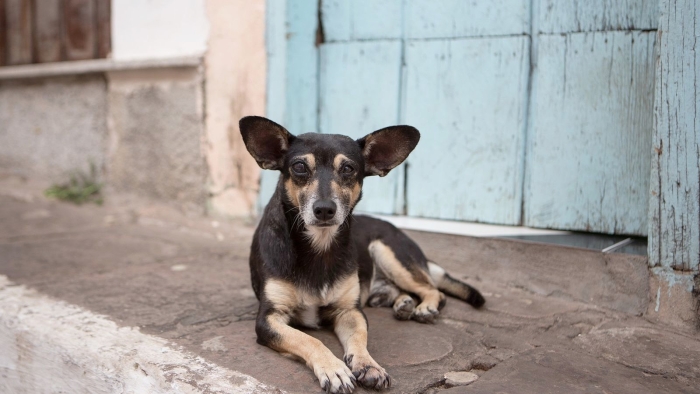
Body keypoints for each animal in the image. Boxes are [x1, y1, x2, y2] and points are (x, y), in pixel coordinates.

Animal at [238, 115, 484, 392]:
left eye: (348, 169)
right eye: (300, 166)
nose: (324, 209)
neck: (320, 246)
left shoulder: (350, 312)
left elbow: (359, 337)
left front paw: (368, 365)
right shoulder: (269, 319)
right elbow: (308, 339)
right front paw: (334, 369)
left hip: (388, 252)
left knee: (434, 290)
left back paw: (424, 307)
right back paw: (404, 304)